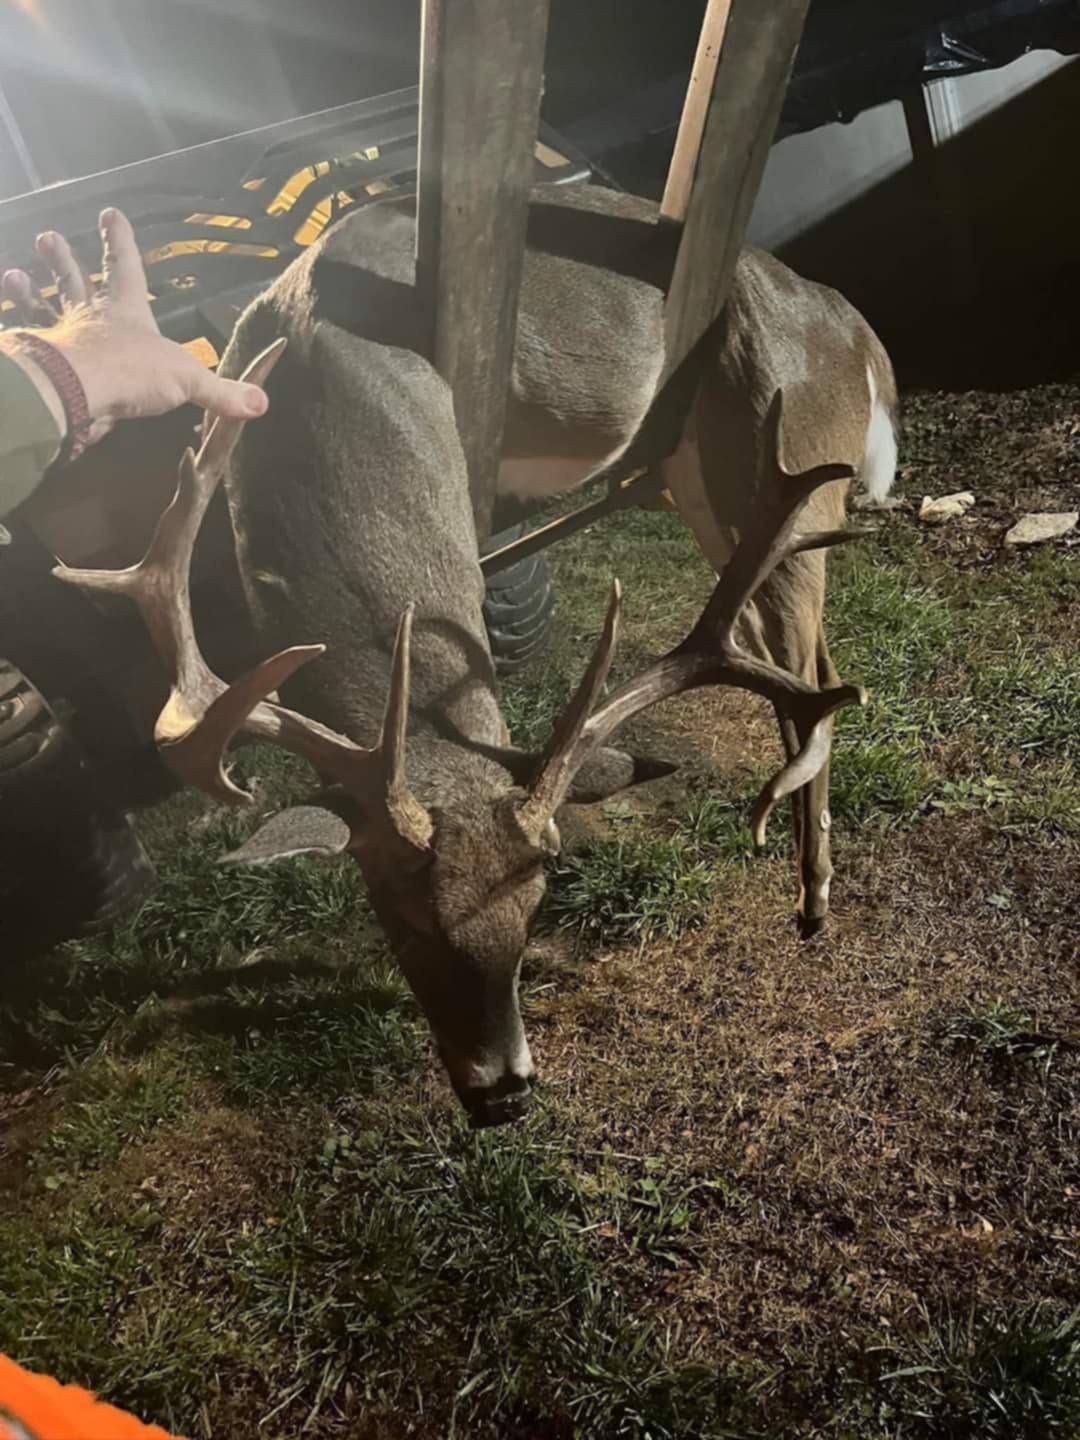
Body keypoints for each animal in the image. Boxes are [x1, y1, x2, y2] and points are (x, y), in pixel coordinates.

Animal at [44, 181, 893, 1126]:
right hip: (704, 488)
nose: (502, 1094)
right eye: (397, 913)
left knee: (811, 670)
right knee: (810, 672)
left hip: (788, 461)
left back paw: (816, 895)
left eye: (536, 903)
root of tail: (853, 326)